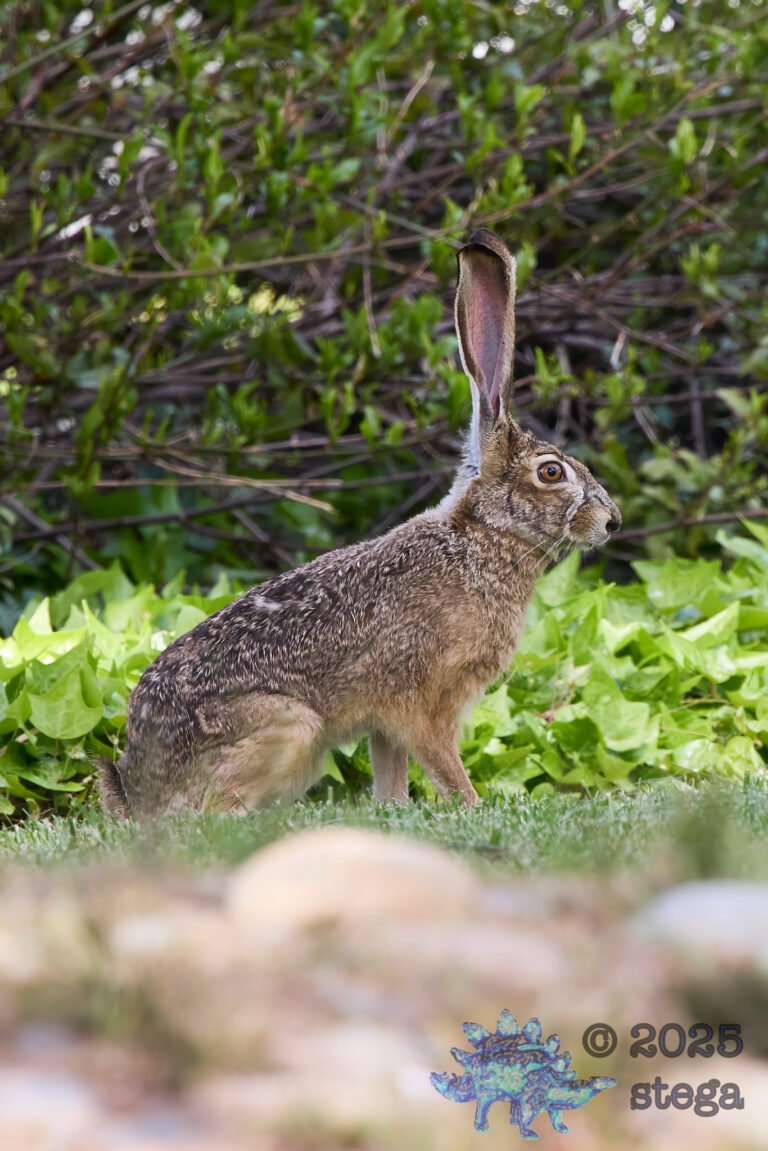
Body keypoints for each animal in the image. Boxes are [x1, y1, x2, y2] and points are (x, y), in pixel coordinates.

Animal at [99, 228, 620, 818]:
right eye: (552, 472)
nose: (612, 521)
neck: (485, 537)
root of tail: (139, 788)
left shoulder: (387, 725)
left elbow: (391, 778)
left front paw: (395, 810)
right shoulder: (423, 706)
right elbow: (446, 766)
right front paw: (472, 806)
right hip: (294, 730)